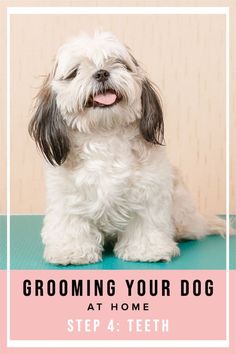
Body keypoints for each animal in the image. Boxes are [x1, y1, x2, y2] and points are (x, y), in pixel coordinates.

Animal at [29, 32, 225, 266]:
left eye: (118, 63)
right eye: (74, 72)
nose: (101, 73)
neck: (105, 137)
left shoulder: (149, 193)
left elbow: (146, 222)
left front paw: (147, 250)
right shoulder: (67, 197)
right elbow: (71, 224)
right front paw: (71, 251)